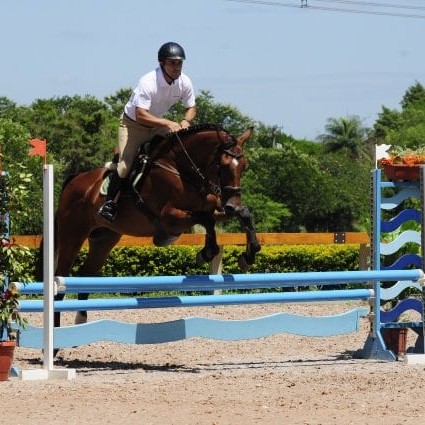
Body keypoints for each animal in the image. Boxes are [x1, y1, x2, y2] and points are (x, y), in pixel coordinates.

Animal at [52, 124, 258, 322]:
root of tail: (76, 179)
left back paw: (81, 319)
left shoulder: (214, 207)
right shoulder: (170, 218)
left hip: (104, 238)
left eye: (245, 166)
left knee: (85, 274)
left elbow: (242, 214)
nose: (231, 204)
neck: (184, 170)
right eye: (223, 165)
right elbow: (206, 221)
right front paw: (207, 253)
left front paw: (248, 256)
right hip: (73, 236)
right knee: (60, 281)